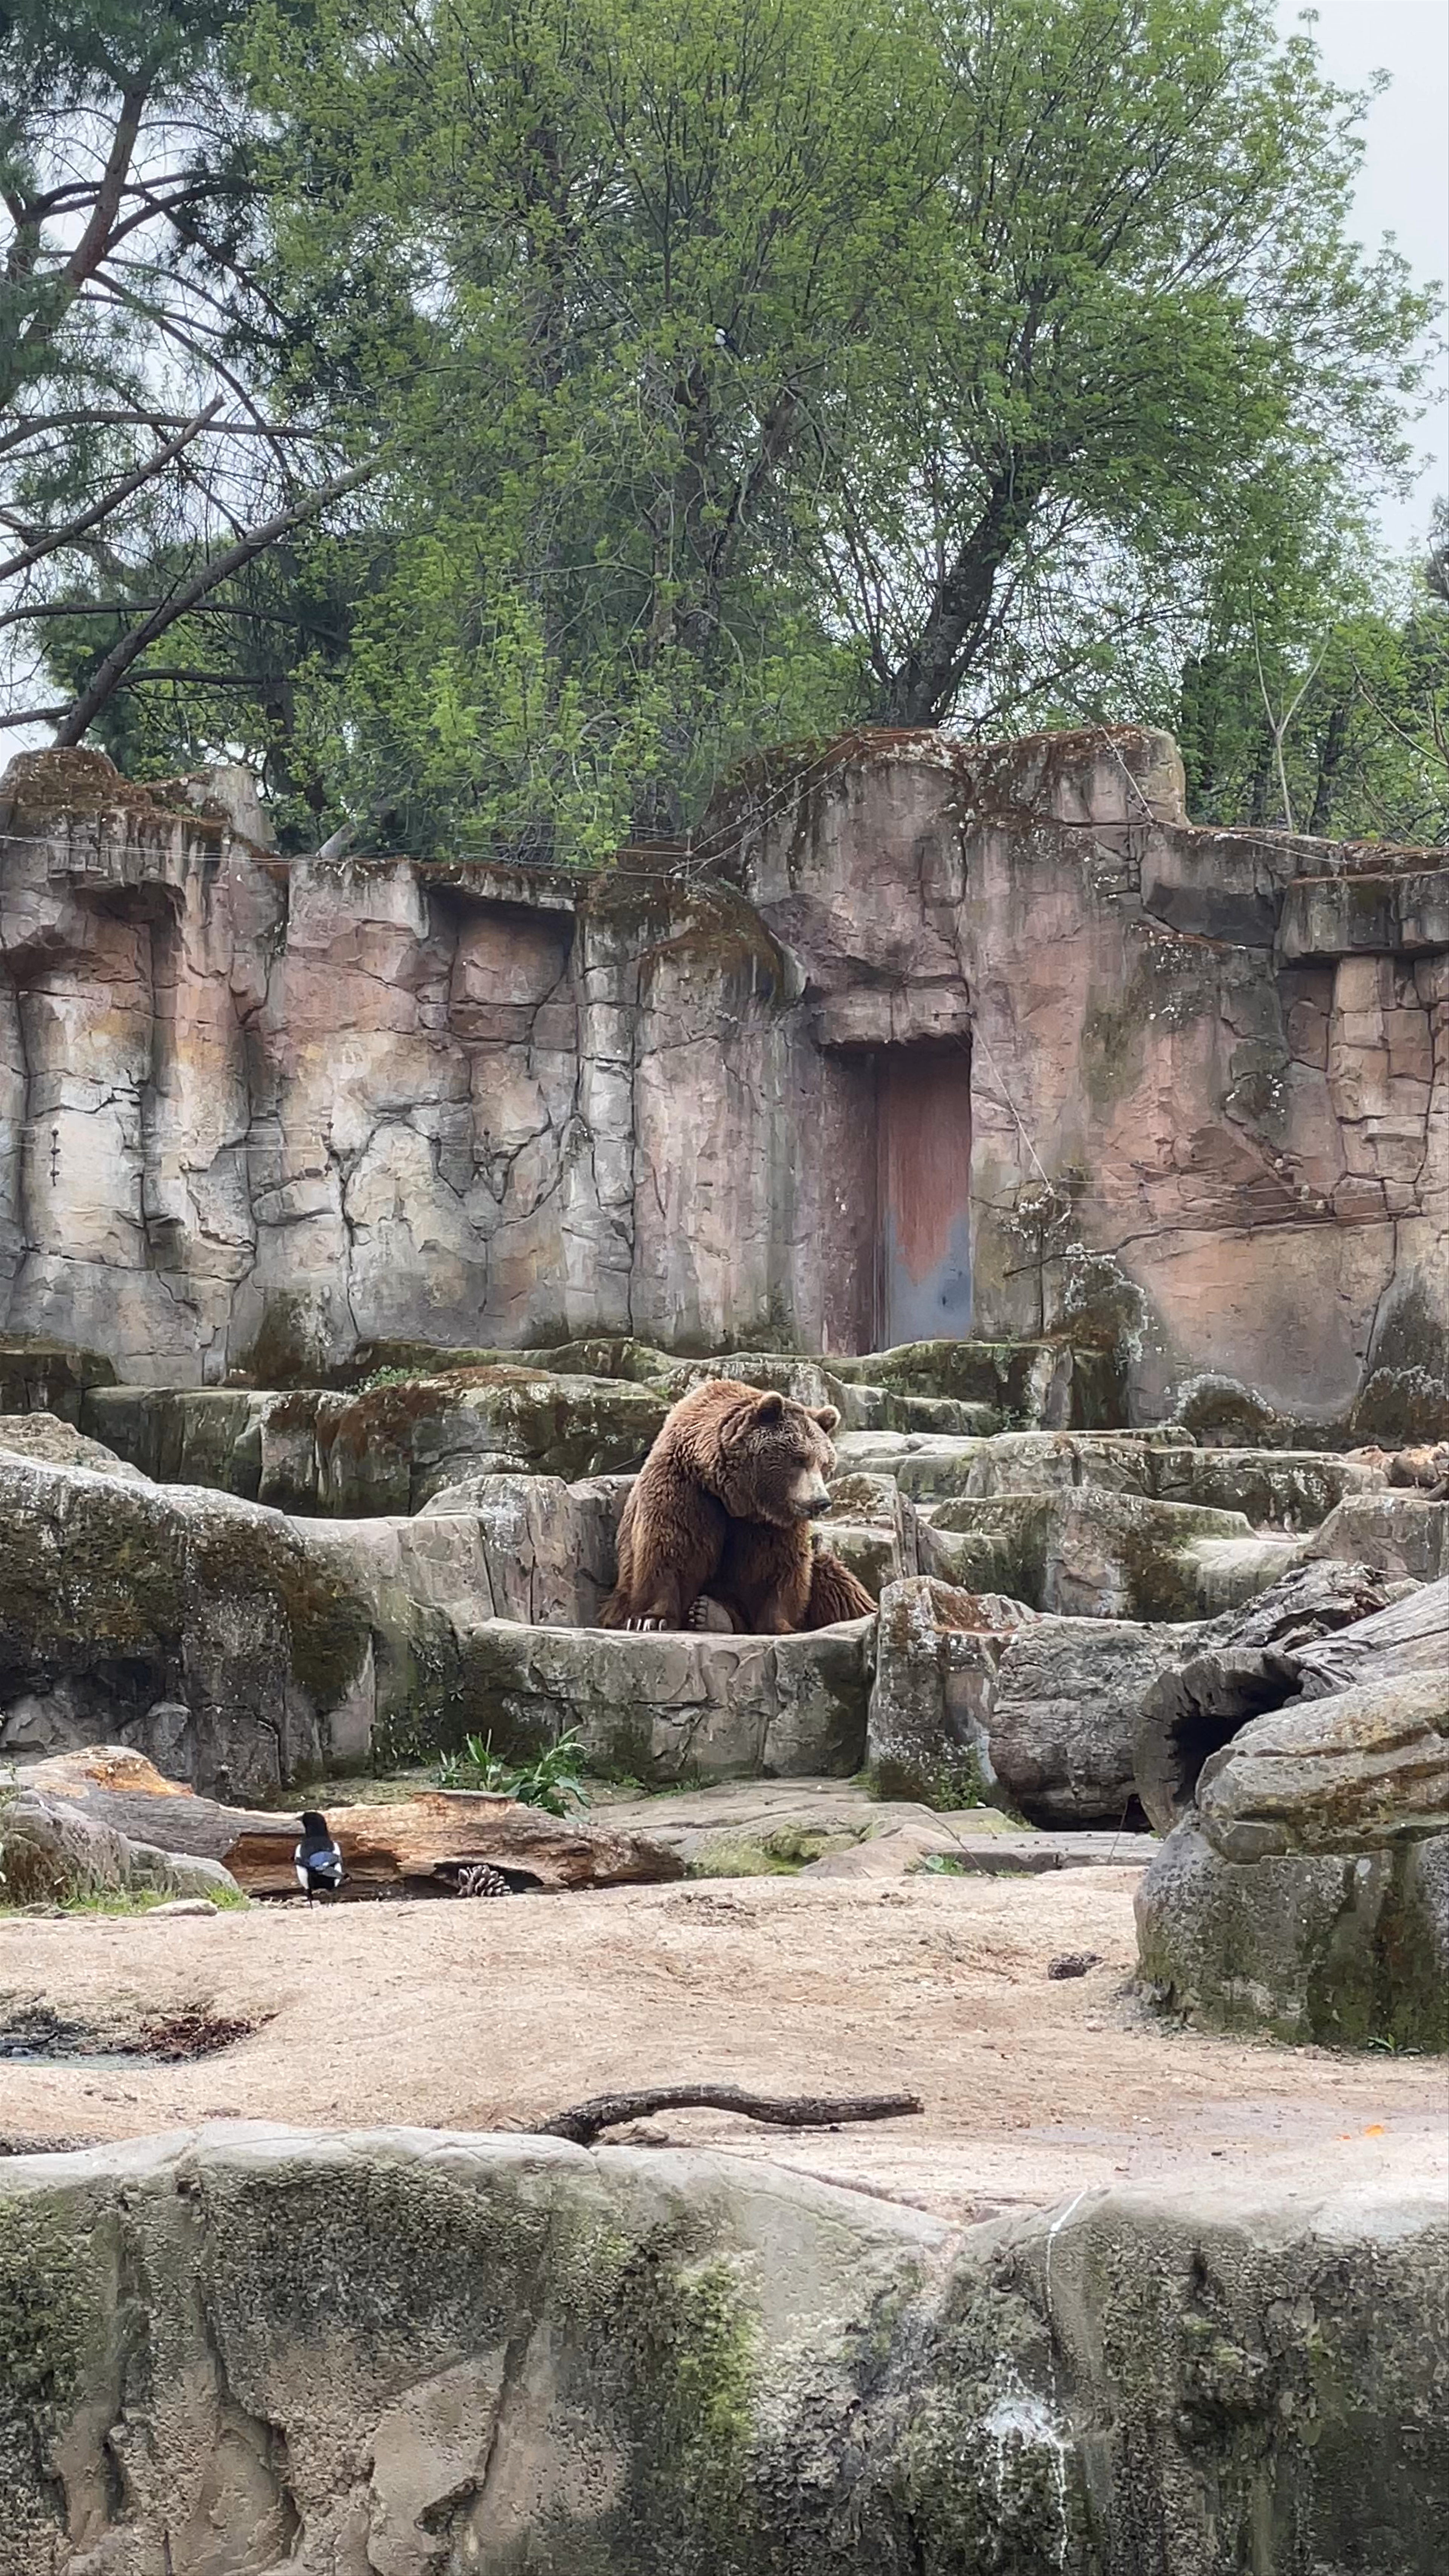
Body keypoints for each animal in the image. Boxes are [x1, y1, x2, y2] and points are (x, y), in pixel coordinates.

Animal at [598, 1378, 877, 1634]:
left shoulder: (770, 1523)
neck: (733, 1496)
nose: (821, 1501)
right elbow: (669, 1544)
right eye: (800, 1459)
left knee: (834, 1580)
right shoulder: (684, 1486)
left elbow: (780, 1567)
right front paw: (650, 1619)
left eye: (825, 1463)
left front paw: (781, 1625)